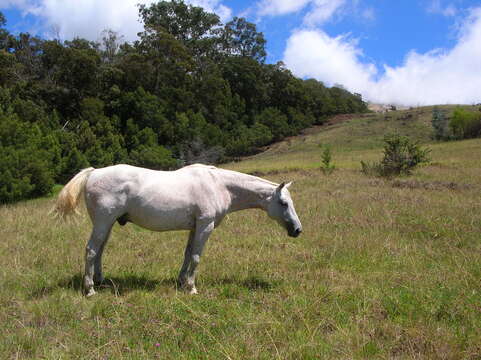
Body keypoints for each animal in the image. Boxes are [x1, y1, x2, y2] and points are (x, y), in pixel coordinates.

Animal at [54, 165, 302, 296]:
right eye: (283, 203)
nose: (297, 230)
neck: (218, 185)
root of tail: (94, 172)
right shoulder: (205, 226)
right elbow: (196, 256)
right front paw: (191, 288)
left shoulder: (195, 227)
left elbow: (187, 254)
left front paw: (181, 281)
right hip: (103, 223)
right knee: (91, 251)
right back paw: (90, 289)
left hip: (107, 225)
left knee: (99, 251)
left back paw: (101, 281)